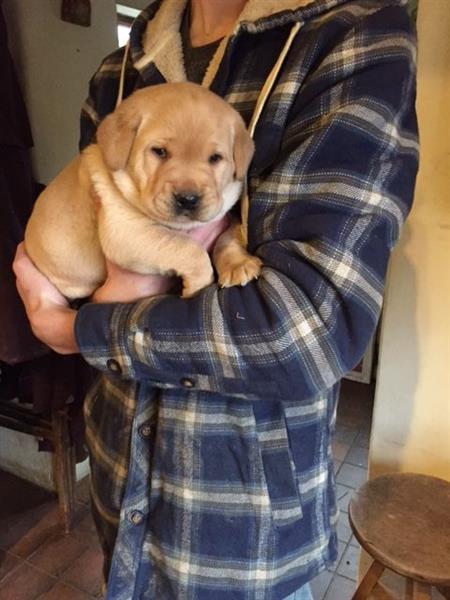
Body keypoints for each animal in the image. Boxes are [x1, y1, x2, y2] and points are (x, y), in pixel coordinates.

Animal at [24, 83, 262, 298]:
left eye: (215, 158)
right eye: (159, 151)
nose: (188, 199)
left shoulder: (223, 217)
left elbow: (230, 234)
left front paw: (239, 263)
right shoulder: (126, 230)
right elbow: (188, 248)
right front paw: (198, 285)